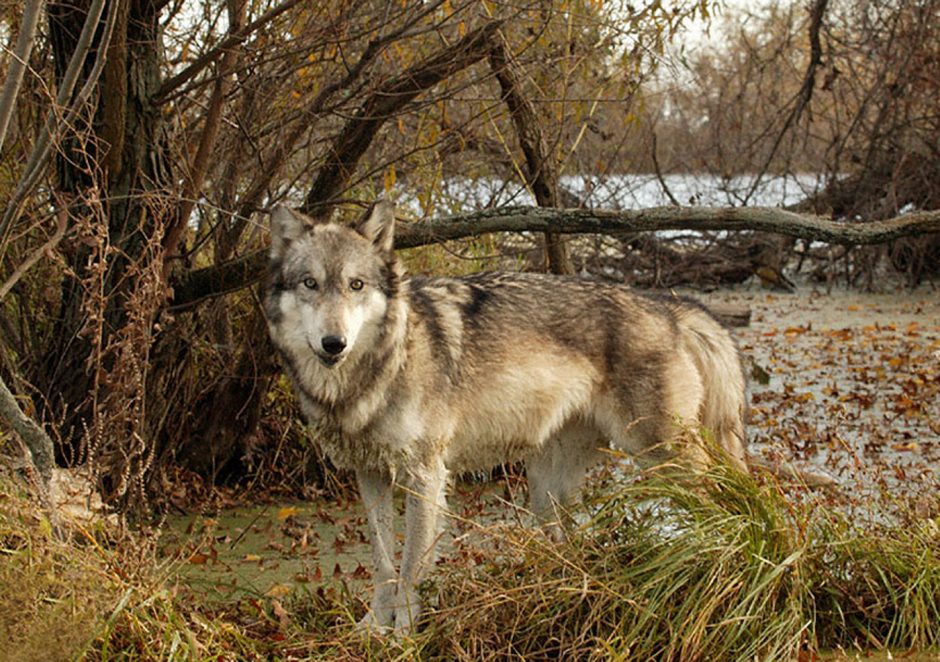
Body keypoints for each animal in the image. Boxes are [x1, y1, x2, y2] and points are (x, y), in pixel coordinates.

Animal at [264, 204, 748, 640]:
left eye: (356, 285)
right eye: (310, 284)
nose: (334, 343)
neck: (383, 364)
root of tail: (670, 308)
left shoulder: (424, 475)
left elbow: (410, 566)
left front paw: (403, 637)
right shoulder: (369, 475)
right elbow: (383, 561)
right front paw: (370, 629)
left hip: (666, 457)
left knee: (725, 503)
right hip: (547, 489)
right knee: (569, 544)